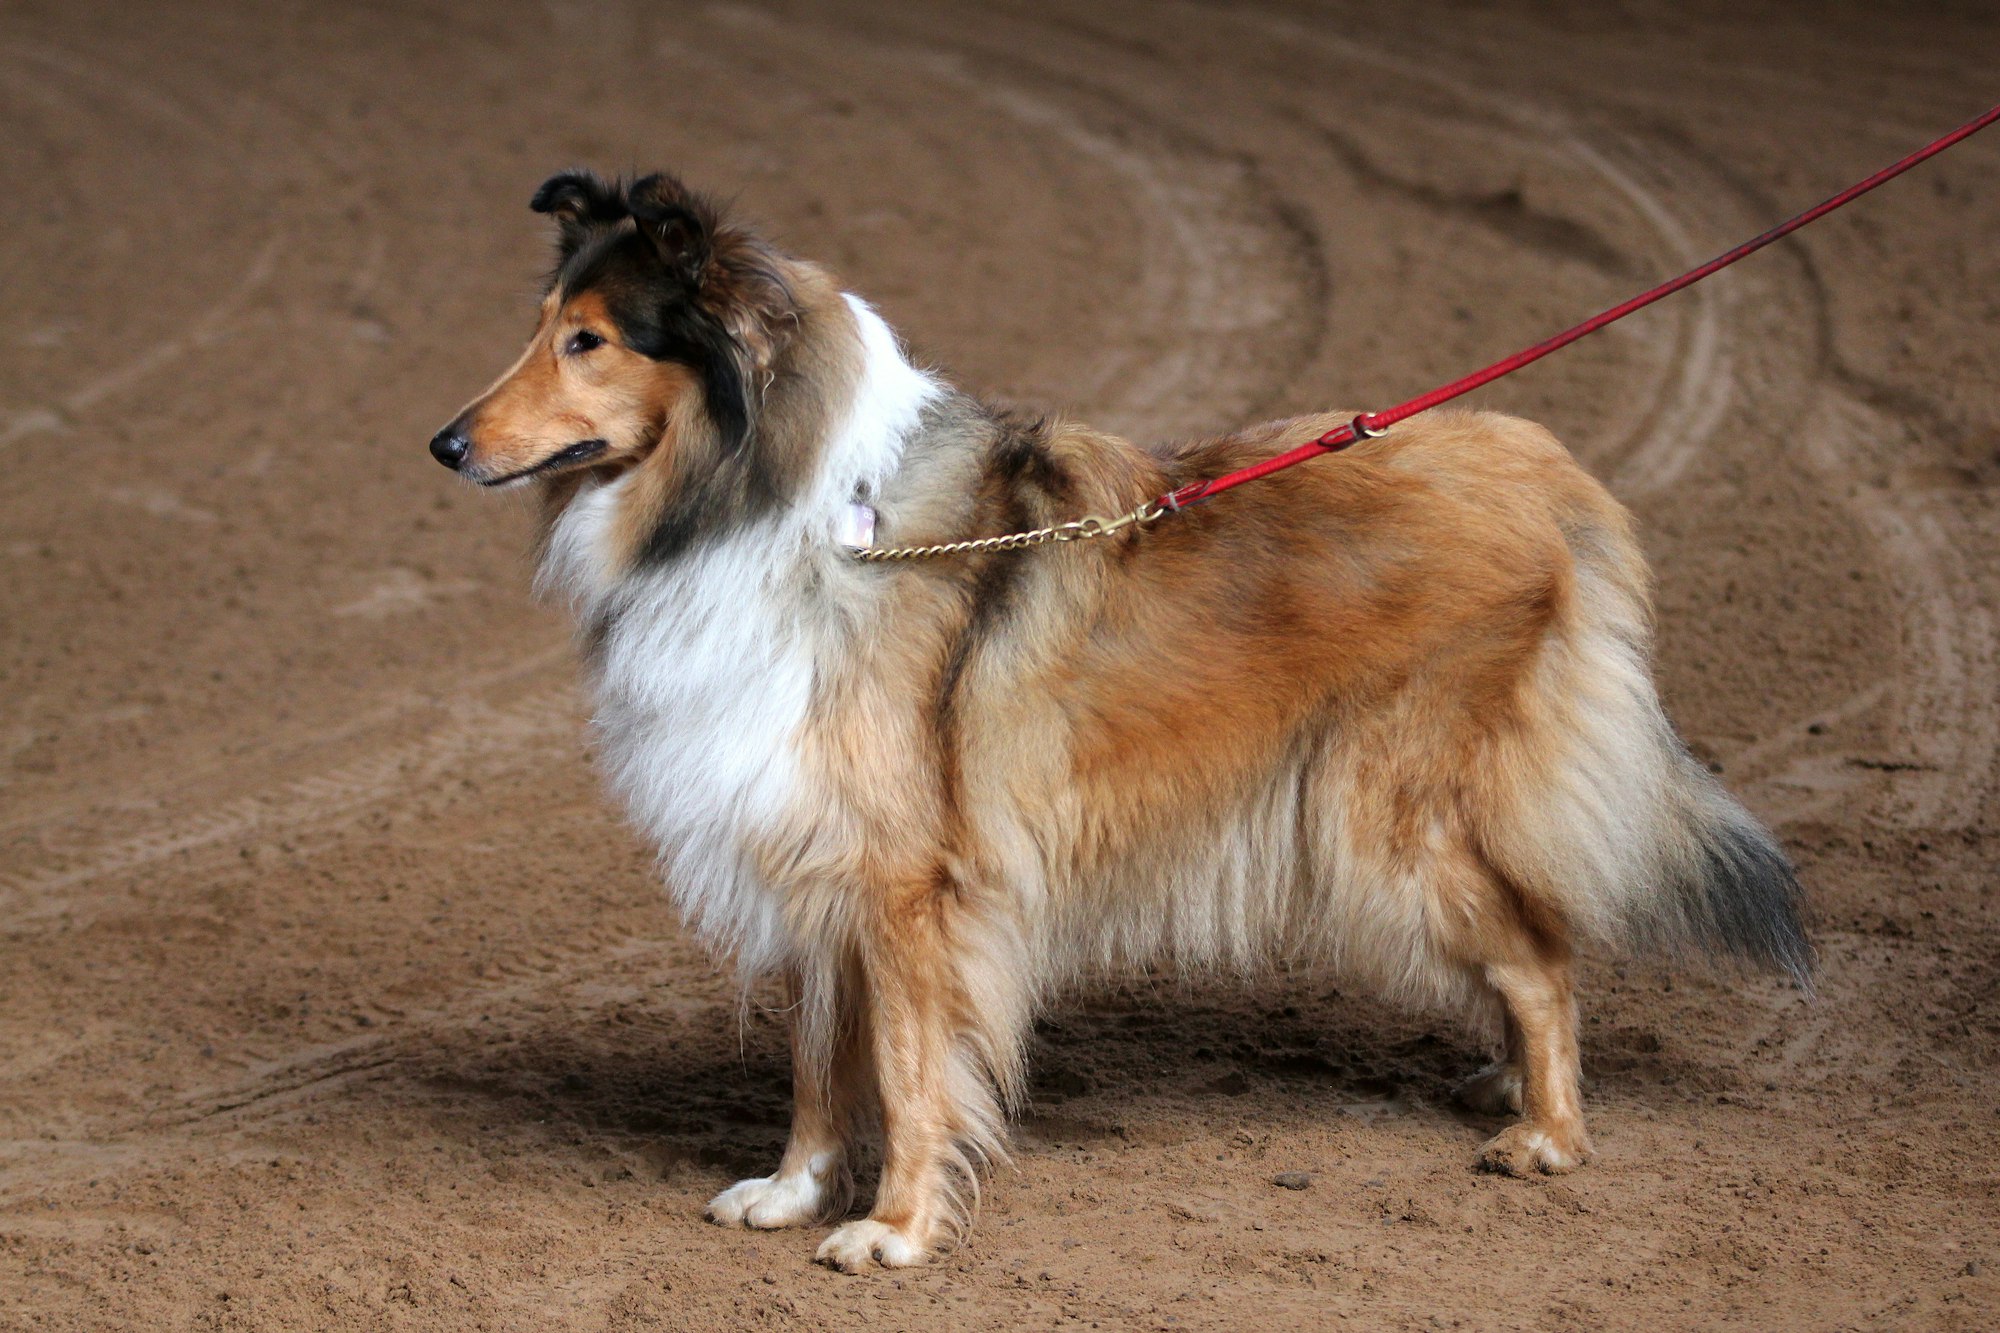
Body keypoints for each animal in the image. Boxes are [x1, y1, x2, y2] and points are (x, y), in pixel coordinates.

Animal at [434, 171, 1816, 1272]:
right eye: (542, 327)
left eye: (590, 341)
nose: (444, 443)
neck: (780, 502)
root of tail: (1552, 476)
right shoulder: (819, 850)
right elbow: (821, 1061)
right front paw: (791, 1191)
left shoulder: (908, 887)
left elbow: (908, 1071)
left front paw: (894, 1230)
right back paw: (1499, 1084)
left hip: (1380, 817)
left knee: (1543, 955)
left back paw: (1545, 1134)